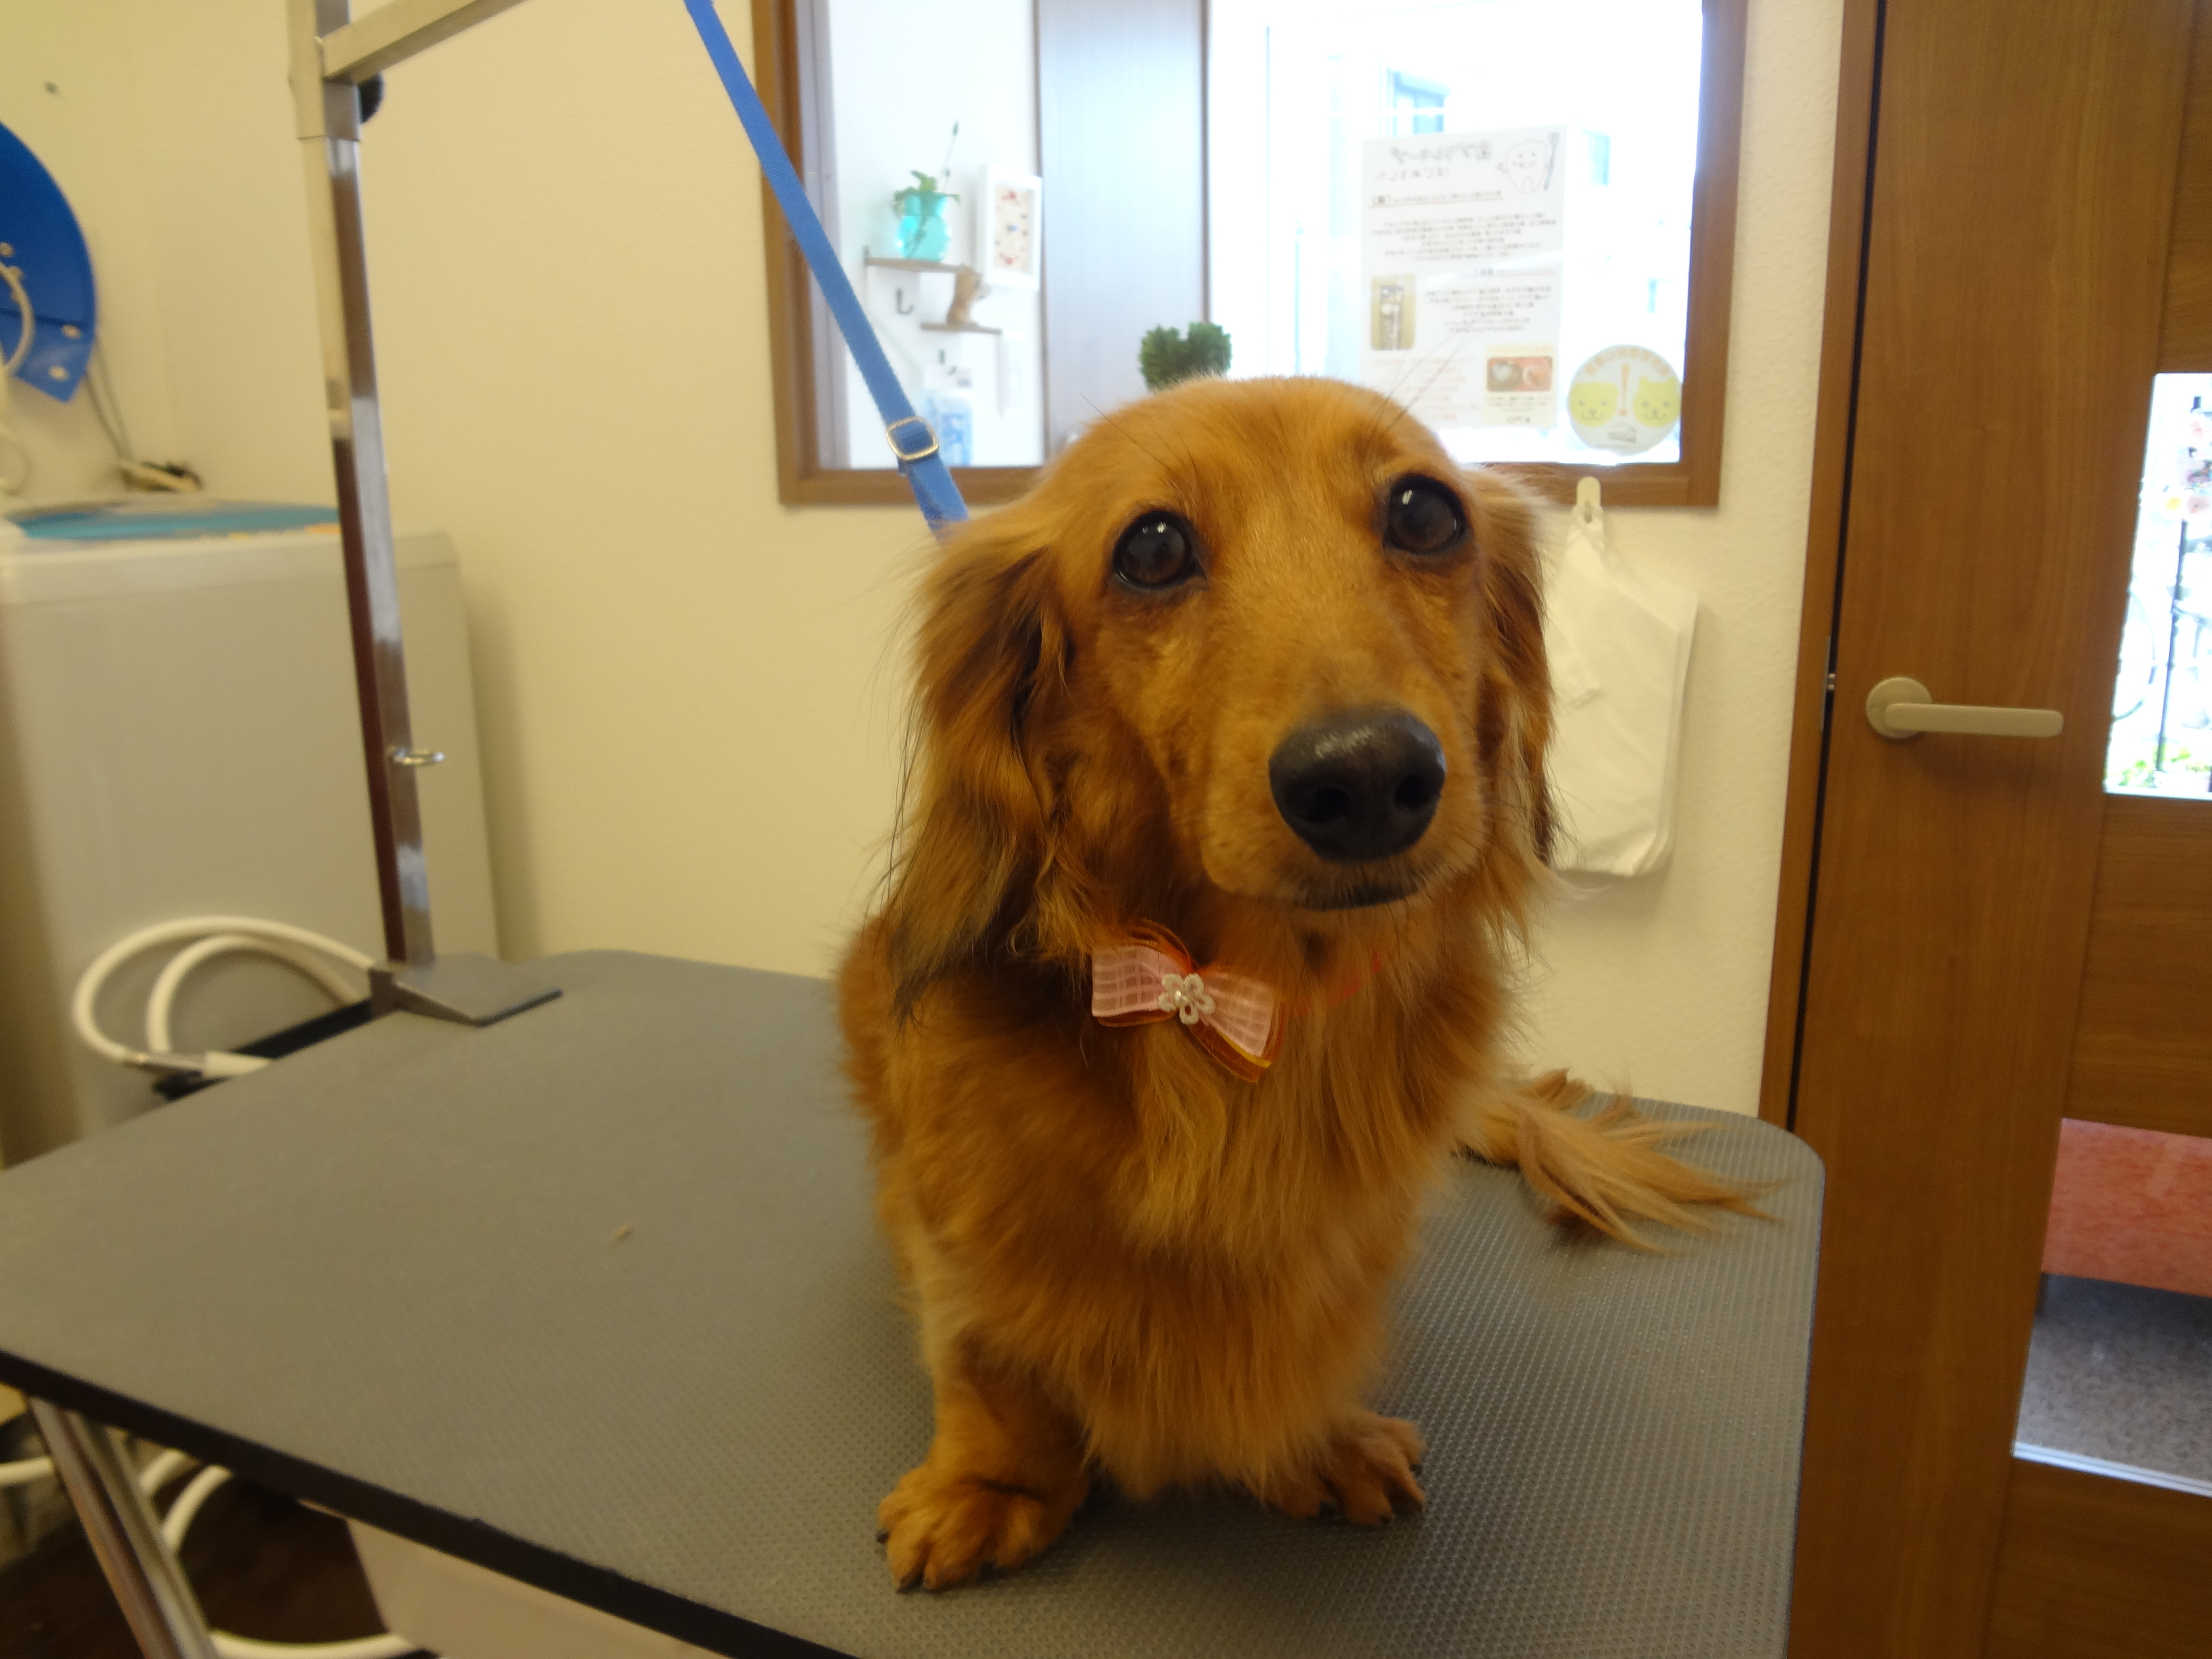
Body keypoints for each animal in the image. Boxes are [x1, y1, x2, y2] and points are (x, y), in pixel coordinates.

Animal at [837, 375, 1754, 1590]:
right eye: (1154, 546)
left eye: (1424, 513)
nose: (1368, 777)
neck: (1232, 995)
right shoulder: (959, 1194)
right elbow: (986, 1347)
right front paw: (997, 1481)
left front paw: (1313, 1439)